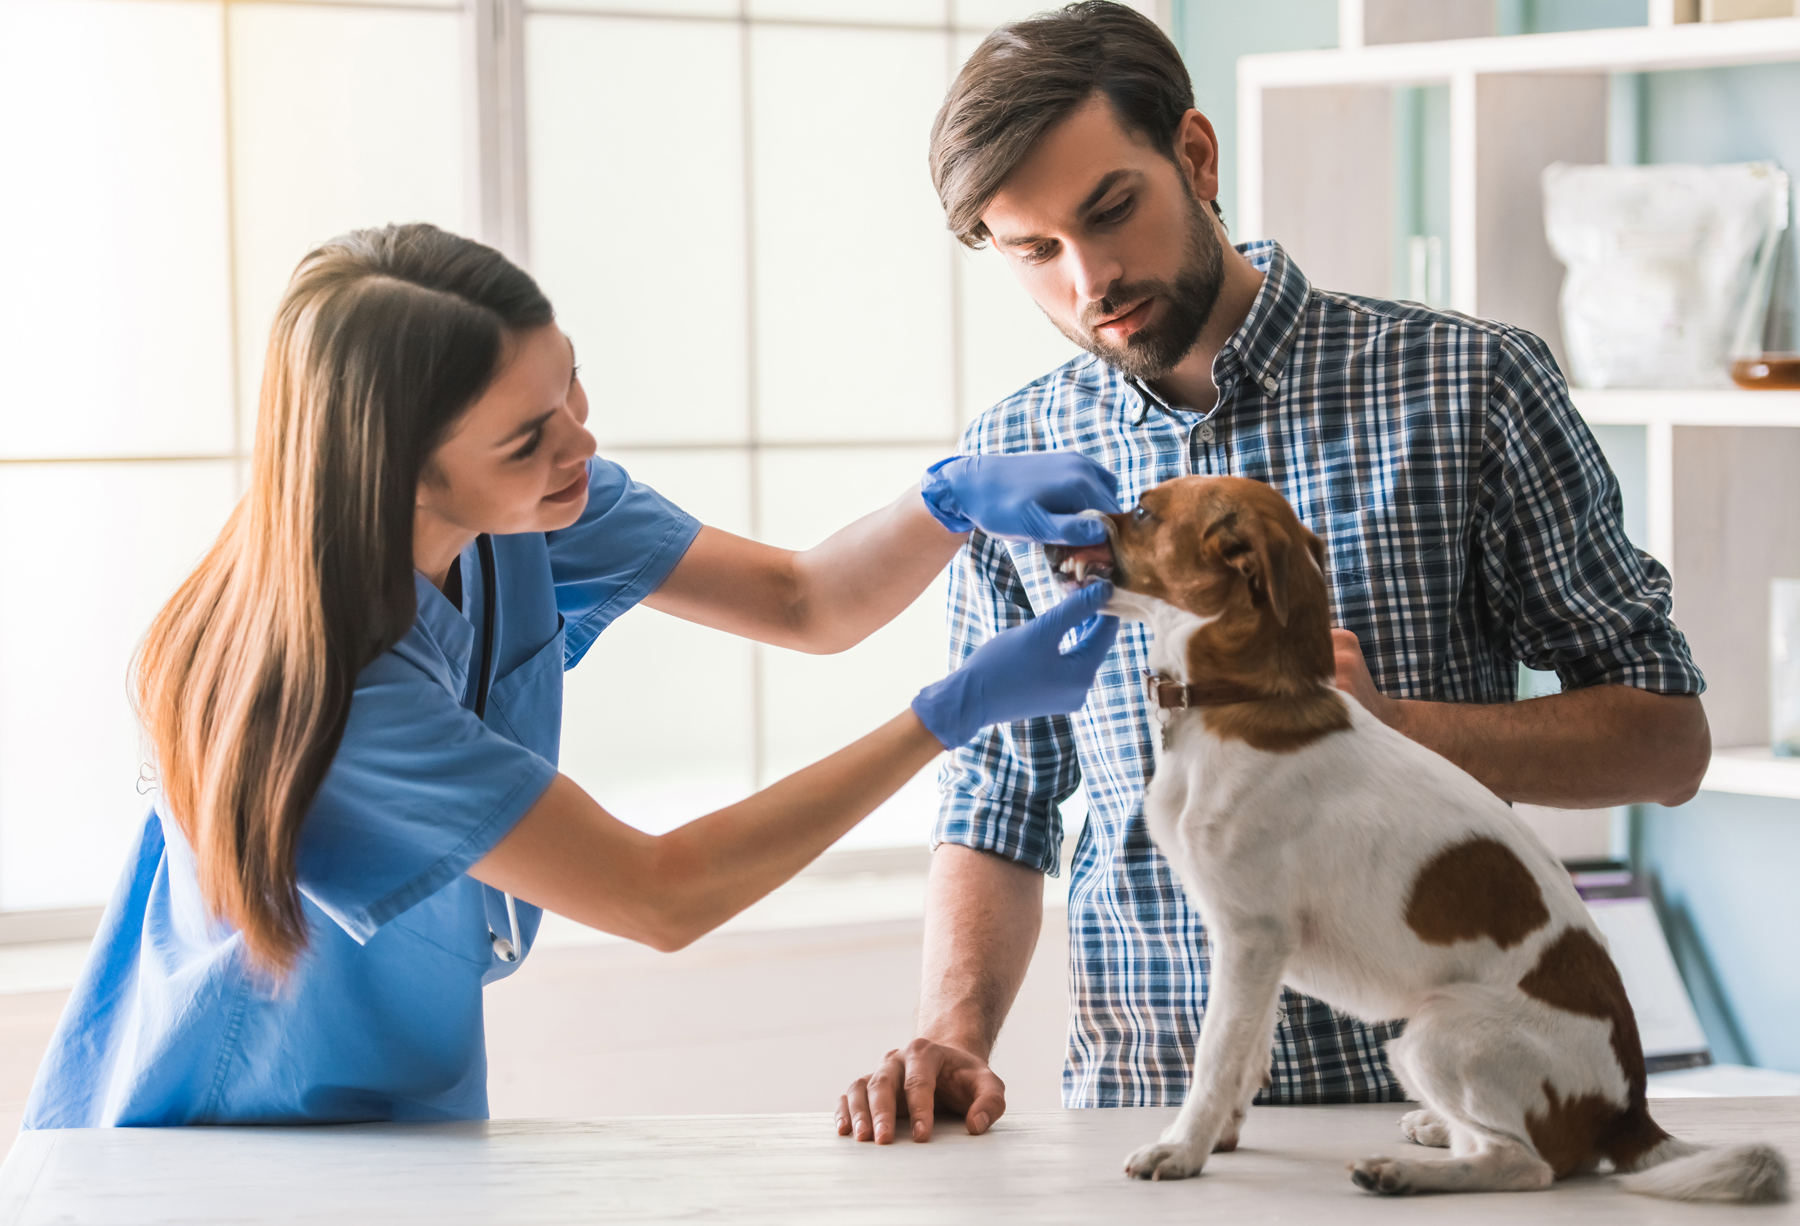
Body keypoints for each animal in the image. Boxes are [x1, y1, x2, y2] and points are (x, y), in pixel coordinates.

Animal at [1051, 475, 1792, 1195]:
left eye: (1142, 511)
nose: (1063, 524)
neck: (1242, 699)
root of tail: (1629, 1112)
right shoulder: (1258, 952)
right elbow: (1249, 1052)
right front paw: (1220, 1136)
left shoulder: (1251, 936)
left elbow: (1215, 1057)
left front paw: (1182, 1148)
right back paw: (1436, 1133)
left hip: (1432, 1035)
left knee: (1526, 1165)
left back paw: (1403, 1174)